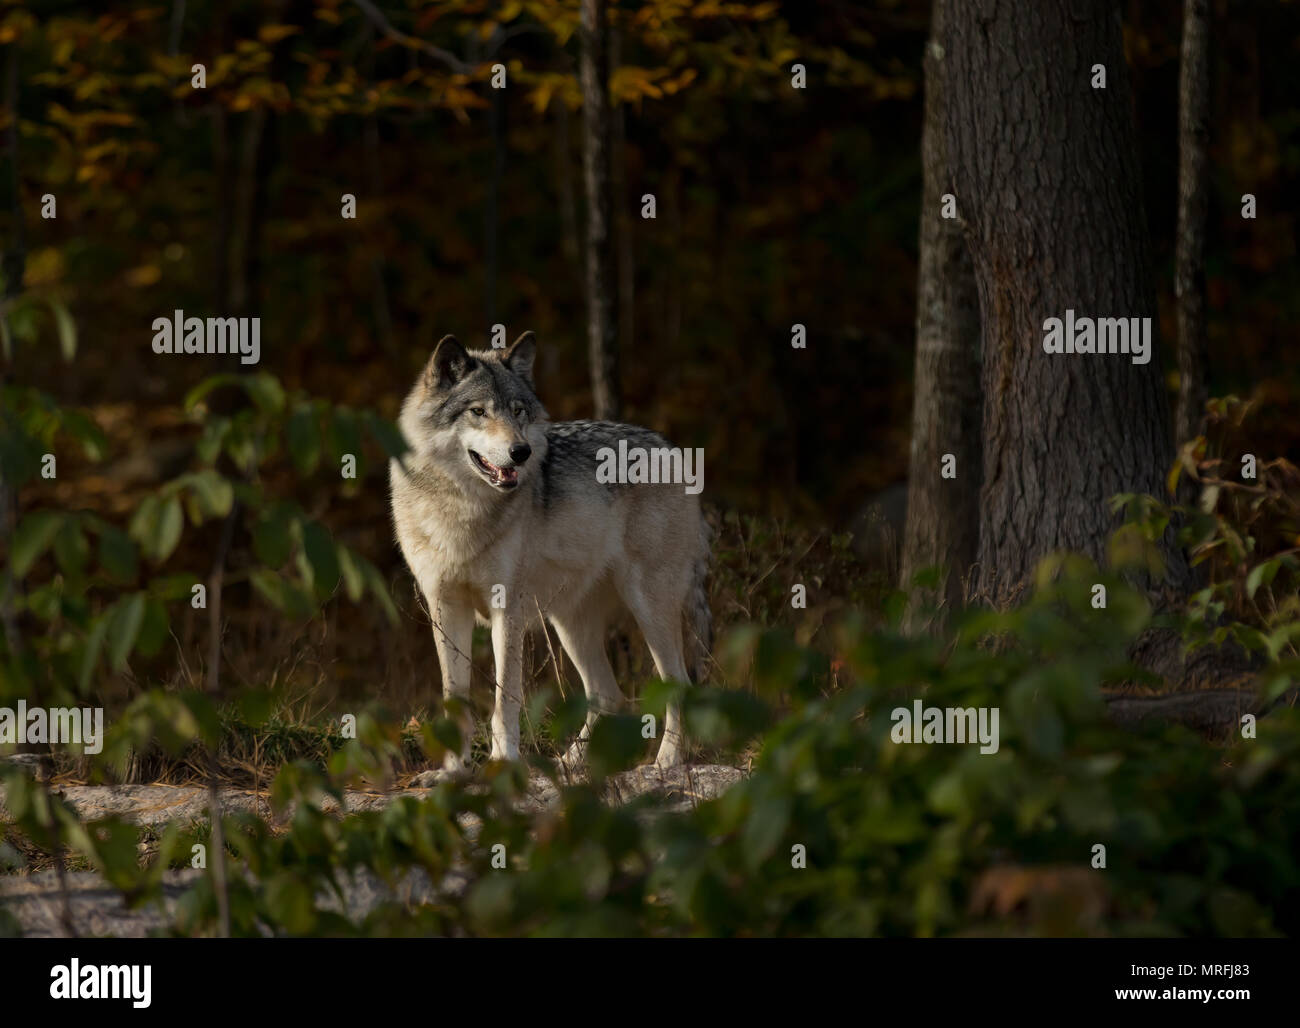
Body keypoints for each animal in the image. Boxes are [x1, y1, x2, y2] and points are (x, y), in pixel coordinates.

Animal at [390, 331, 710, 770]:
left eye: (518, 411)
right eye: (478, 412)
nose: (521, 451)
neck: (462, 508)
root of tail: (671, 448)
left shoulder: (507, 609)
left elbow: (504, 700)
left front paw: (503, 764)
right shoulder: (445, 608)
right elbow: (455, 700)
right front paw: (453, 772)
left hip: (647, 607)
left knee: (677, 685)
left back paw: (666, 762)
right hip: (569, 623)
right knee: (608, 695)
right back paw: (568, 763)